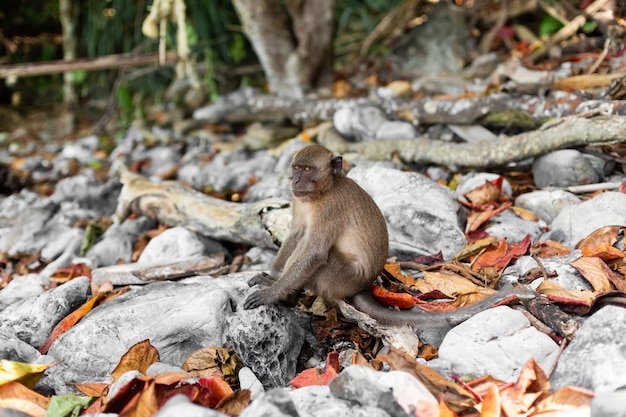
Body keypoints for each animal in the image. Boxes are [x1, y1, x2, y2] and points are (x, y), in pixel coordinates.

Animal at [244, 145, 532, 342]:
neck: (322, 192)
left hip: (339, 277)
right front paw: (272, 277)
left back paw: (290, 297)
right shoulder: (299, 201)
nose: (295, 180)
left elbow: (314, 252)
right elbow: (296, 234)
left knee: (322, 260)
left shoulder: (330, 209)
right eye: (296, 168)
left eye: (308, 170)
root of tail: (363, 285)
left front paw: (272, 292)